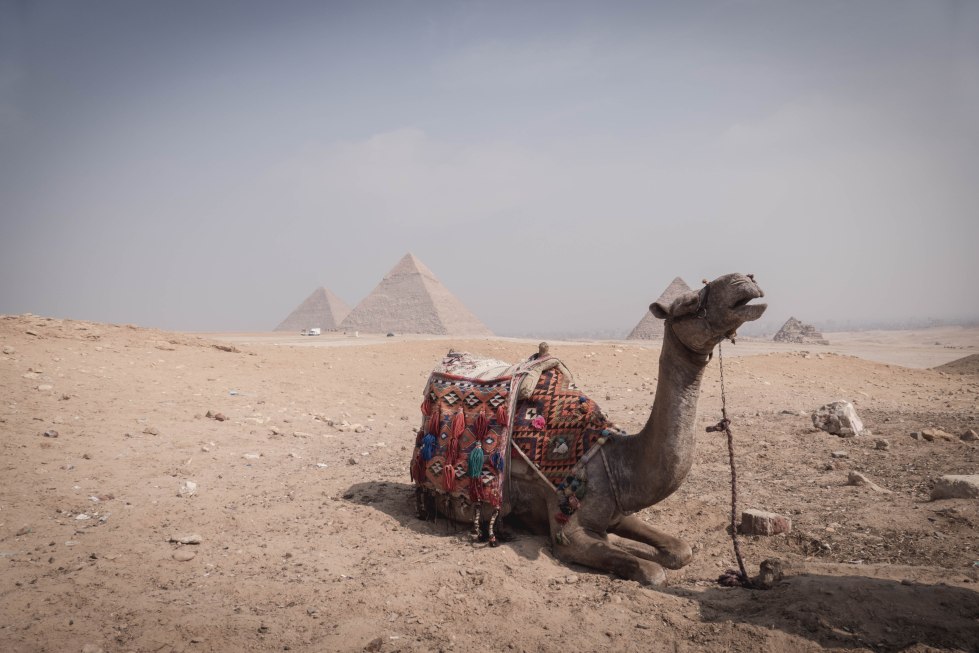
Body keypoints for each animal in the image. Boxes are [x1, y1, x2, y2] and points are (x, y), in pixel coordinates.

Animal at [416, 272, 766, 585]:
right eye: (690, 303)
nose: (744, 280)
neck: (616, 458)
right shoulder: (569, 529)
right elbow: (652, 572)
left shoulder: (617, 511)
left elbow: (680, 550)